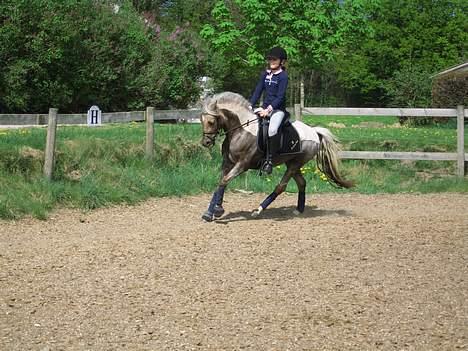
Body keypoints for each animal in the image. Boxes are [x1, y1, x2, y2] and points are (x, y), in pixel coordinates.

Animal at [199, 91, 352, 223]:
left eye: (211, 122)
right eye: (201, 120)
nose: (206, 142)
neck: (241, 130)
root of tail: (314, 131)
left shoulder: (242, 164)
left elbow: (224, 181)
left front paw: (215, 211)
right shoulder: (227, 162)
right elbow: (220, 183)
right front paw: (211, 212)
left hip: (295, 164)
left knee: (281, 187)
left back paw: (258, 211)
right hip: (292, 163)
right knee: (301, 183)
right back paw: (299, 210)